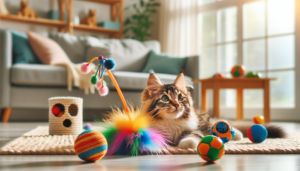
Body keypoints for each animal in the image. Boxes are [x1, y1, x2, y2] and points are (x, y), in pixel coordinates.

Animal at [141, 71, 286, 149]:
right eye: (165, 98)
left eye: (180, 97)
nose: (177, 105)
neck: (171, 122)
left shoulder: (195, 128)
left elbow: (194, 135)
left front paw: (187, 144)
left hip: (206, 122)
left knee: (222, 125)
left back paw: (237, 135)